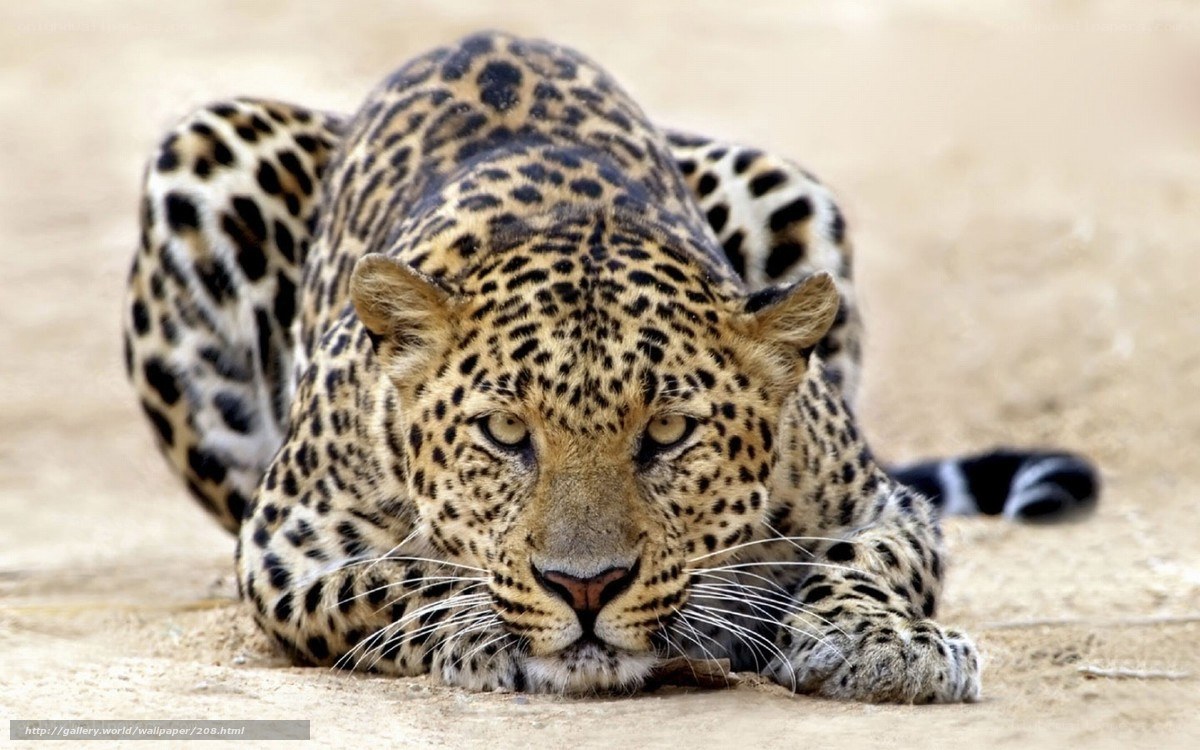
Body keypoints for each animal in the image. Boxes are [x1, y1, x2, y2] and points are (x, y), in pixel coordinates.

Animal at [123, 31, 1099, 702]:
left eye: (667, 434)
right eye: (504, 433)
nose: (584, 588)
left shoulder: (880, 504)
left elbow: (865, 561)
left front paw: (882, 644)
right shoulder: (286, 544)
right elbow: (399, 579)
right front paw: (484, 629)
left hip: (781, 181)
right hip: (202, 153)